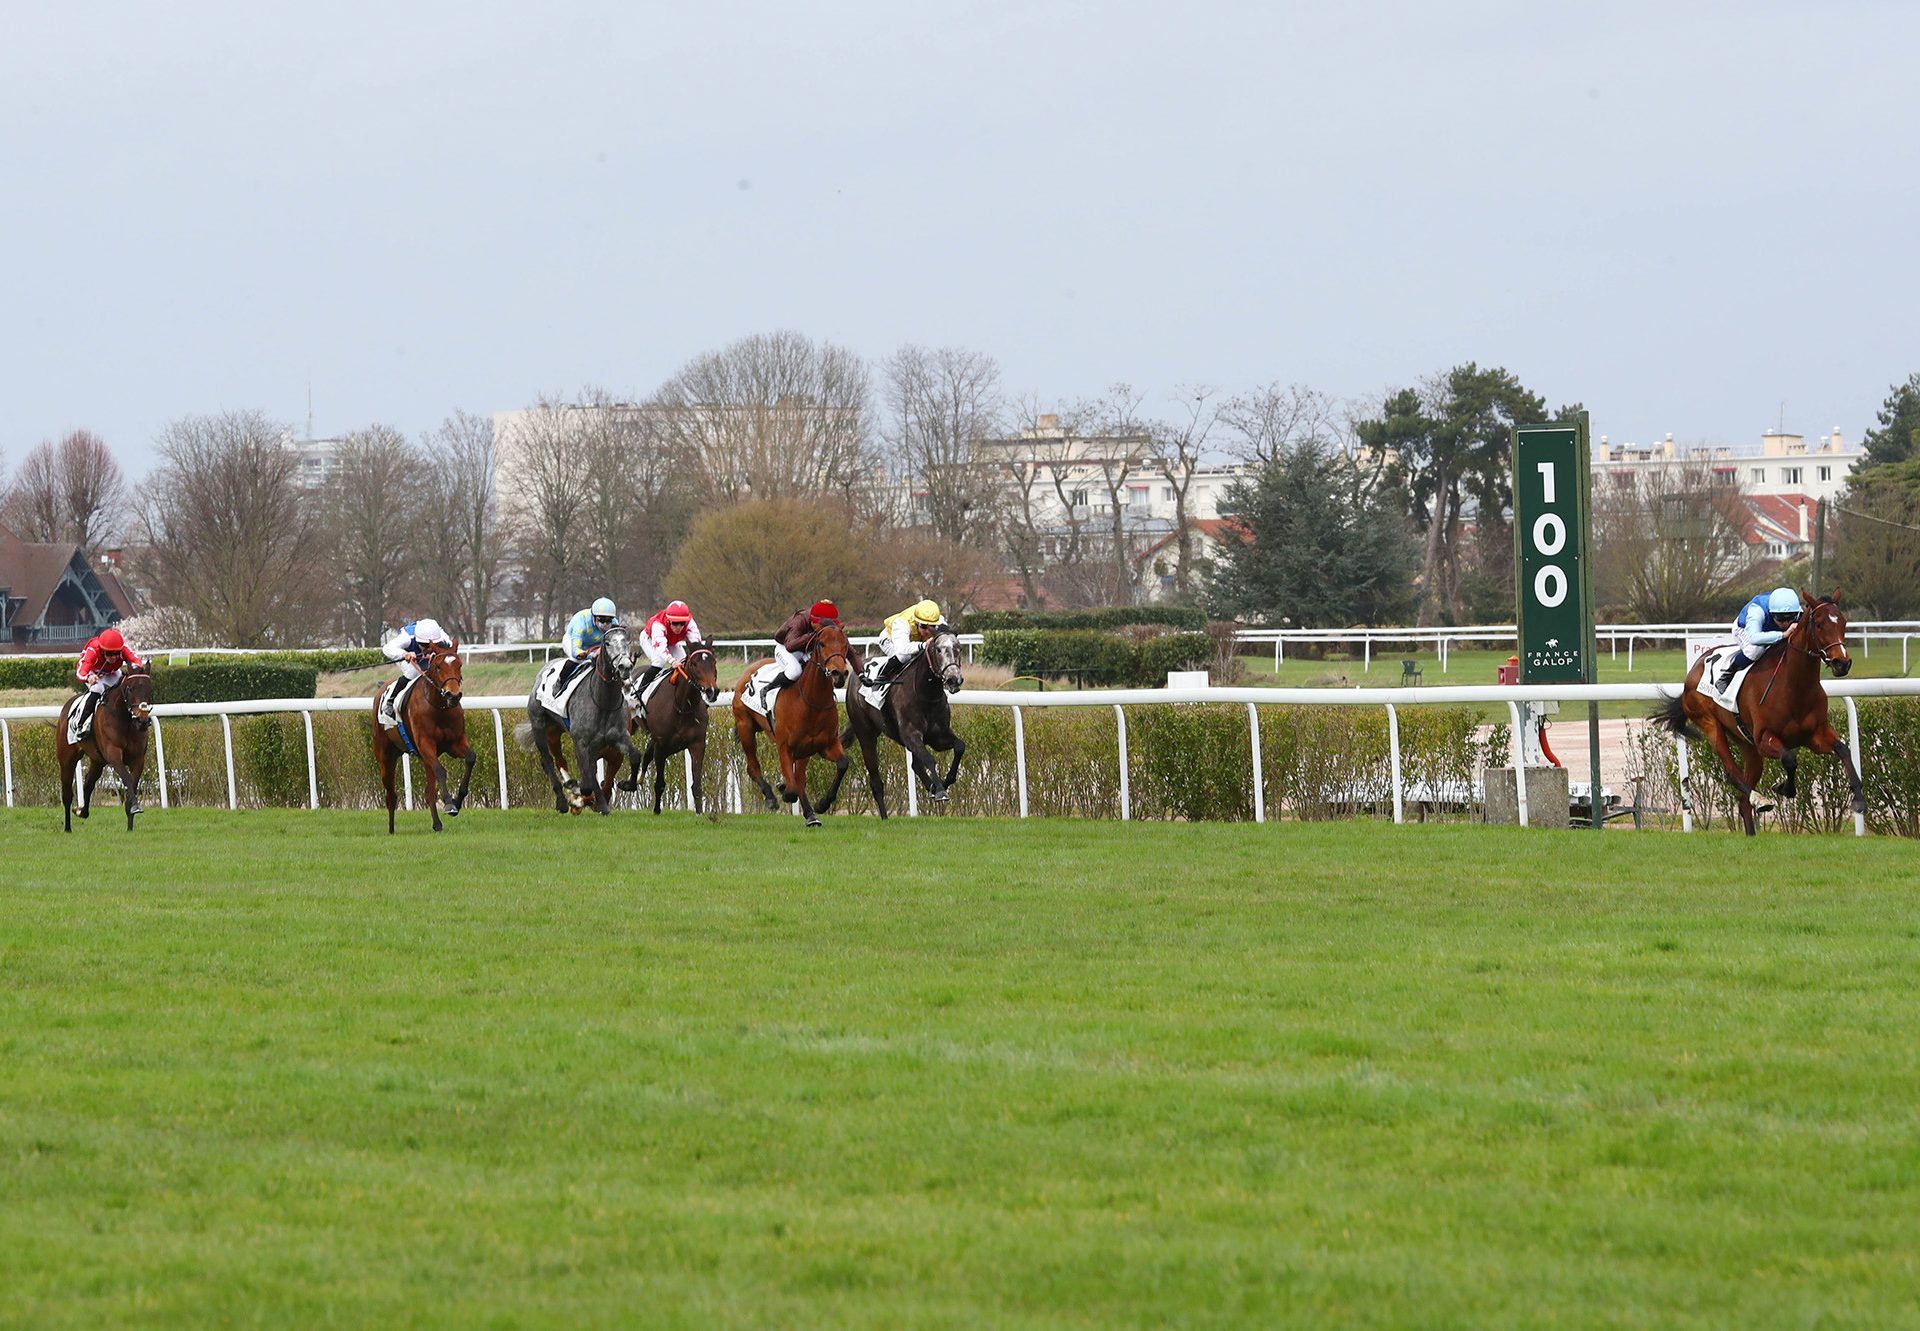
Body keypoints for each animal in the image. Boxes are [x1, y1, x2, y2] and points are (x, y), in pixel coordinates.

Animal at [57, 664, 153, 829]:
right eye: (131, 689)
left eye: (150, 688)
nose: (142, 721)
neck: (125, 719)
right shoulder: (113, 755)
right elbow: (127, 778)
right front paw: (135, 807)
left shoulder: (138, 759)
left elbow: (132, 787)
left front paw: (131, 825)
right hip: (67, 759)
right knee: (67, 794)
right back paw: (68, 828)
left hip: (97, 761)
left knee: (88, 784)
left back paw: (81, 811)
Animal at [368, 641, 474, 829]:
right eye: (438, 666)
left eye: (459, 665)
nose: (453, 695)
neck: (438, 708)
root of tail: (381, 688)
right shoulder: (425, 744)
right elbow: (440, 770)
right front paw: (449, 804)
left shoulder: (455, 743)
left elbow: (470, 758)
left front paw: (458, 800)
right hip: (385, 757)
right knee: (391, 795)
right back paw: (391, 829)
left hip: (423, 759)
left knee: (429, 792)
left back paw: (437, 824)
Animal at [729, 622, 852, 825]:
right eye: (821, 644)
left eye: (845, 644)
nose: (839, 673)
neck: (811, 700)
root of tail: (749, 670)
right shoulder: (785, 747)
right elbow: (793, 788)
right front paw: (784, 790)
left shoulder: (825, 744)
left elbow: (842, 764)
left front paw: (822, 804)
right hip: (745, 726)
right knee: (753, 766)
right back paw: (771, 797)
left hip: (803, 749)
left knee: (800, 778)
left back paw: (811, 815)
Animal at [1658, 587, 1866, 829]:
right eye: (1819, 624)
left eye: (1843, 622)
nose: (1842, 663)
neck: (1795, 686)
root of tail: (1693, 672)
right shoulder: (1765, 738)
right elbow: (1789, 758)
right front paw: (1784, 788)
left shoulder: (1815, 736)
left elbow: (1843, 749)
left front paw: (1859, 799)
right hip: (1710, 724)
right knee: (1732, 772)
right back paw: (1759, 798)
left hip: (1747, 745)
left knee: (1742, 802)